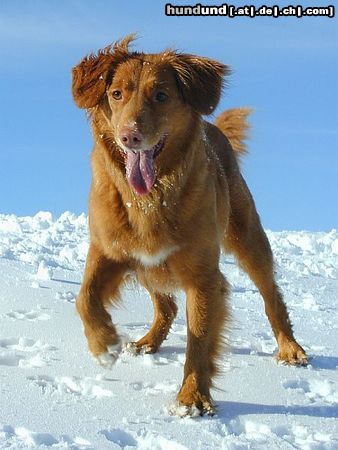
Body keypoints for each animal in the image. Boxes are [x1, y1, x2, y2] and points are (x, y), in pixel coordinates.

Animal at [72, 35, 308, 418]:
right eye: (116, 94)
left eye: (161, 95)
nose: (129, 137)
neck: (150, 198)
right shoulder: (109, 251)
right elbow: (85, 298)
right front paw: (104, 344)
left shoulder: (204, 276)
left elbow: (199, 339)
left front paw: (192, 398)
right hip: (147, 265)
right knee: (165, 306)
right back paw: (147, 342)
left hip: (247, 237)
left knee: (271, 295)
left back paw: (290, 348)